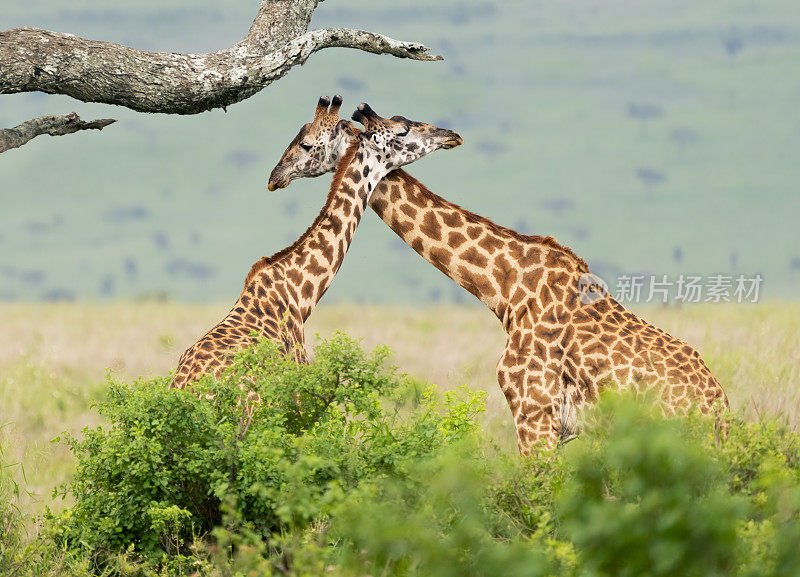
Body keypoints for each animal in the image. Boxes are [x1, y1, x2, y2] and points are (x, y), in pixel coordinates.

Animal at [268, 99, 724, 452]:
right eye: (404, 126)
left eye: (306, 142)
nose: (276, 176)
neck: (506, 287)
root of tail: (721, 410)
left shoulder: (534, 410)